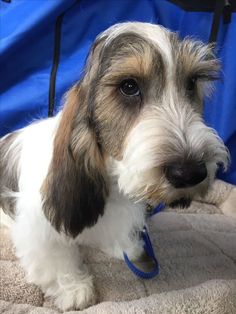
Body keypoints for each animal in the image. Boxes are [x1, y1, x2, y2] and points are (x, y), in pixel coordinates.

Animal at [0, 22, 229, 310]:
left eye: (191, 83)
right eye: (128, 86)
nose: (190, 172)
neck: (111, 180)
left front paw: (129, 248)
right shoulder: (37, 229)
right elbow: (56, 258)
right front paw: (73, 288)